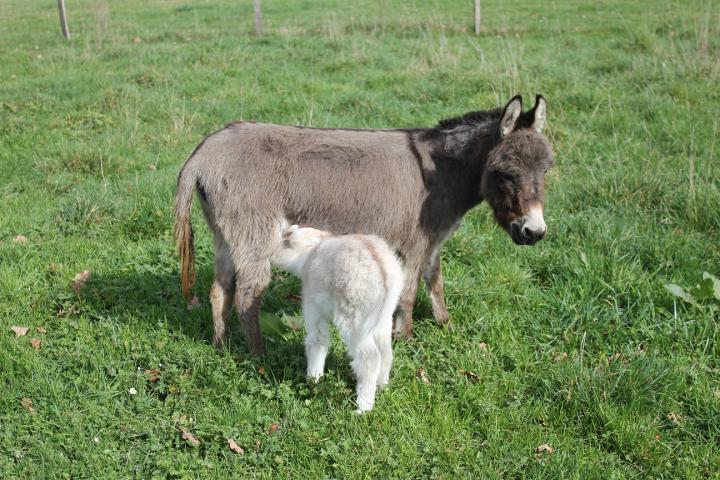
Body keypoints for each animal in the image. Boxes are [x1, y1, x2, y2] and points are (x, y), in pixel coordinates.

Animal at [272, 226, 404, 412]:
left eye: (286, 242)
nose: (271, 256)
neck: (311, 251)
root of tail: (384, 274)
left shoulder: (314, 311)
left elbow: (317, 344)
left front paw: (313, 380)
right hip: (383, 321)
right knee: (386, 354)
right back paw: (382, 387)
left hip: (353, 322)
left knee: (370, 358)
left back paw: (363, 407)